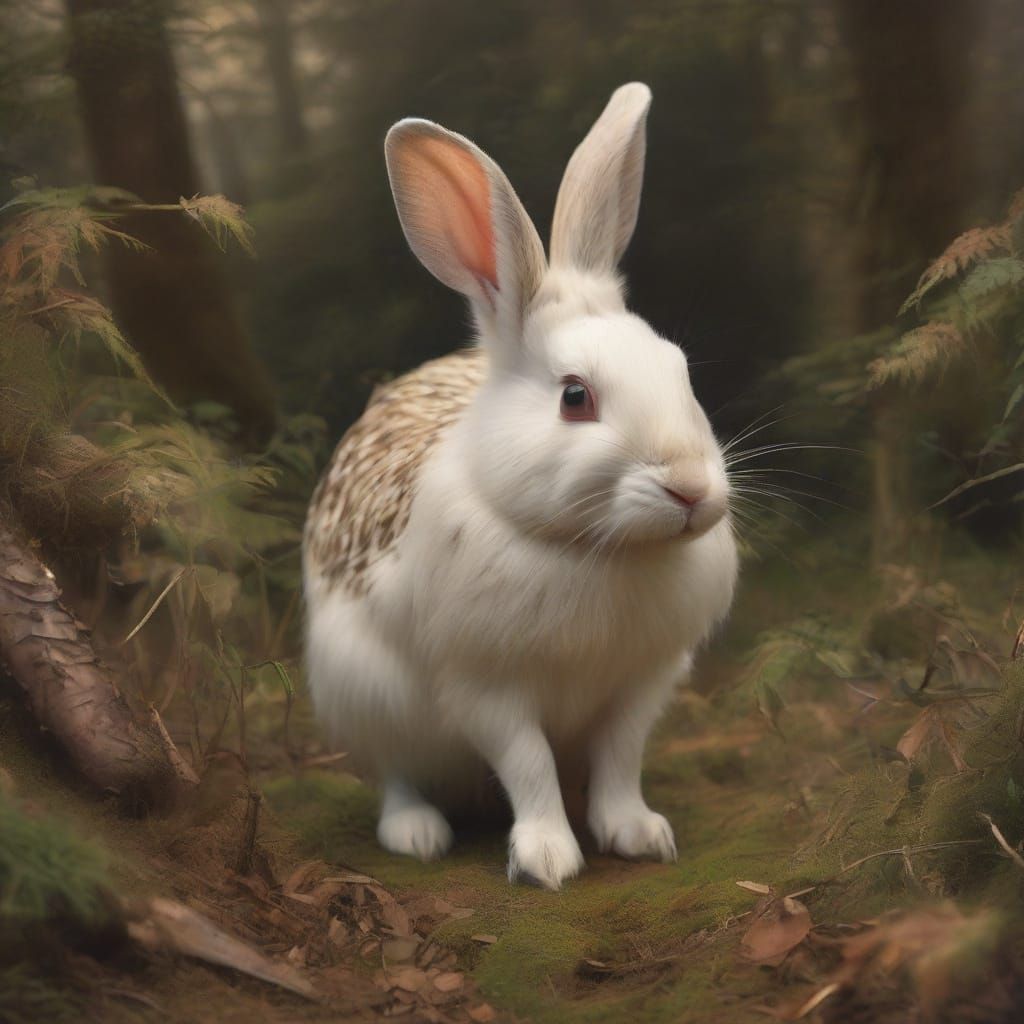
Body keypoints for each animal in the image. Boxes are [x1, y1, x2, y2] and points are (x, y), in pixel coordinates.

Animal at [303, 82, 739, 890]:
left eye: (679, 367)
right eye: (575, 397)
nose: (692, 490)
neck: (597, 549)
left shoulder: (641, 682)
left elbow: (622, 757)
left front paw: (637, 832)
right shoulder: (485, 686)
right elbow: (527, 764)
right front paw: (547, 859)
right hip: (364, 694)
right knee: (395, 774)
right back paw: (417, 832)